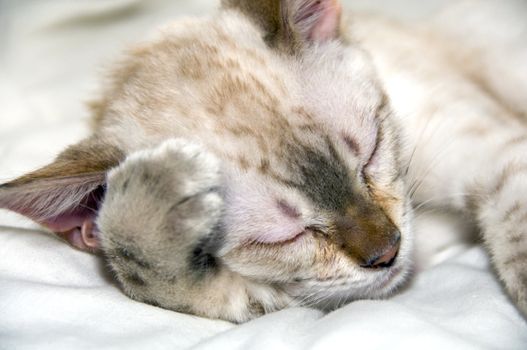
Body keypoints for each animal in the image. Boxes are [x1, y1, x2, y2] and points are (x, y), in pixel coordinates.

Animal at [0, 0, 524, 322]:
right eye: (283, 237)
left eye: (370, 154)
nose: (388, 251)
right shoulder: (280, 298)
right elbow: (162, 281)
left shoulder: (489, 153)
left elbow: (516, 239)